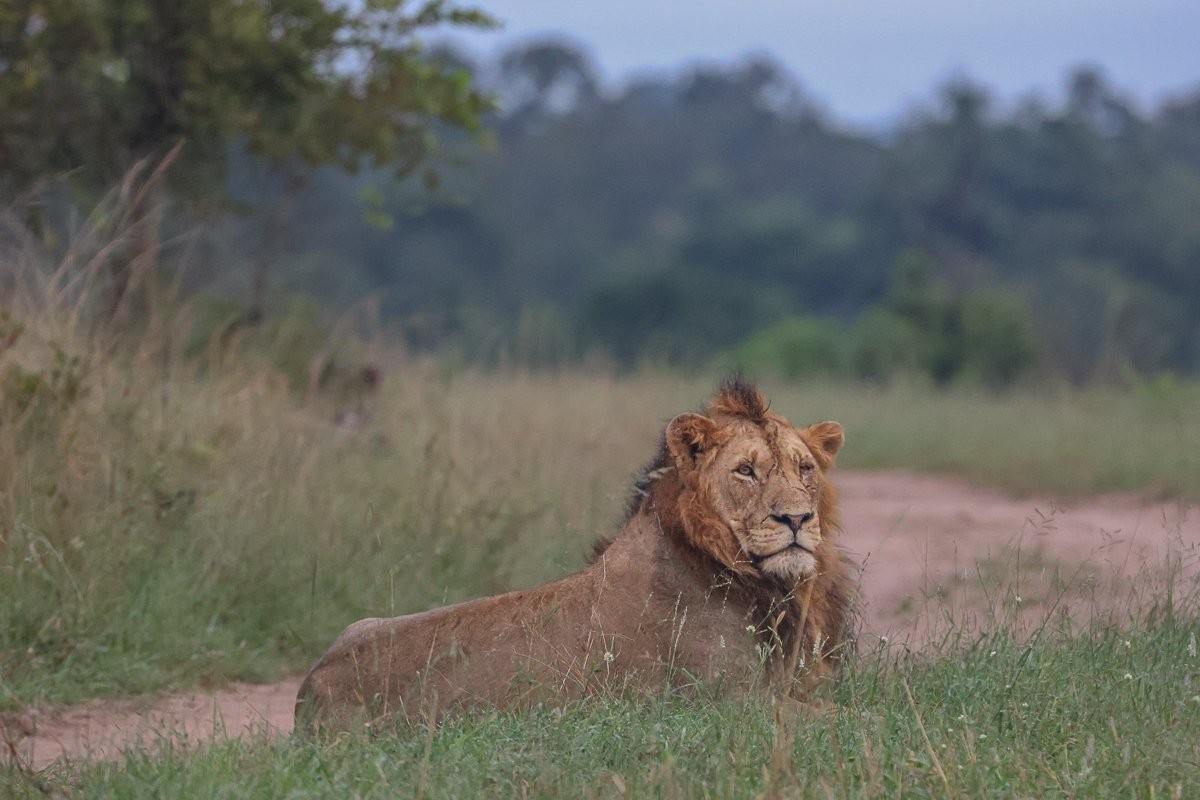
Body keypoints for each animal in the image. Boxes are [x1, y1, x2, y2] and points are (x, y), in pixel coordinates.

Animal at [294, 379, 856, 734]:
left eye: (805, 468)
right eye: (745, 471)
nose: (796, 519)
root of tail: (310, 688)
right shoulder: (729, 703)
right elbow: (852, 718)